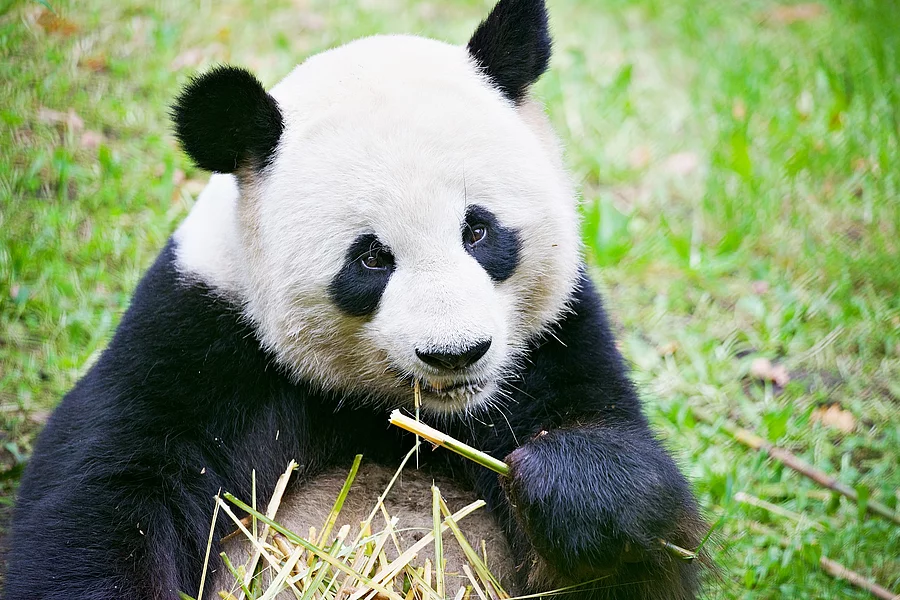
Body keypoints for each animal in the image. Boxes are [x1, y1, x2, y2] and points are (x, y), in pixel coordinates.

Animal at [5, 0, 705, 598]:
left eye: (477, 231)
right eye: (371, 258)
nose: (456, 354)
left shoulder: (554, 343)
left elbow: (638, 533)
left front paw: (565, 486)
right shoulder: (195, 344)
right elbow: (100, 508)